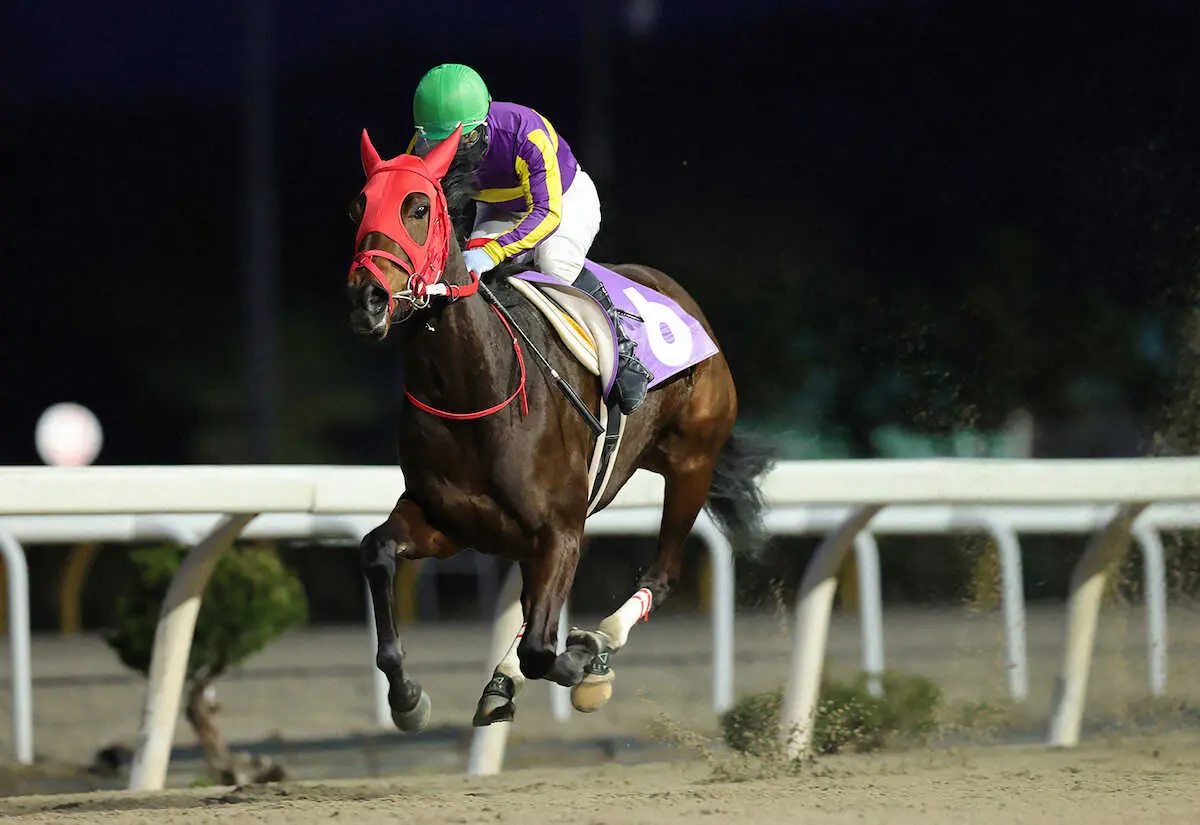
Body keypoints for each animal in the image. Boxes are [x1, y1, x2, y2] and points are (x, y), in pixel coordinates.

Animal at [344, 123, 773, 732]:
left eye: (419, 206)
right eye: (358, 206)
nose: (368, 299)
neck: (477, 388)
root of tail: (681, 298)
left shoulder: (562, 530)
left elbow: (544, 650)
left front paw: (586, 661)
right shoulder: (448, 521)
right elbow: (376, 551)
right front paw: (407, 697)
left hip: (693, 462)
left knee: (661, 574)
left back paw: (598, 640)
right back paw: (504, 682)